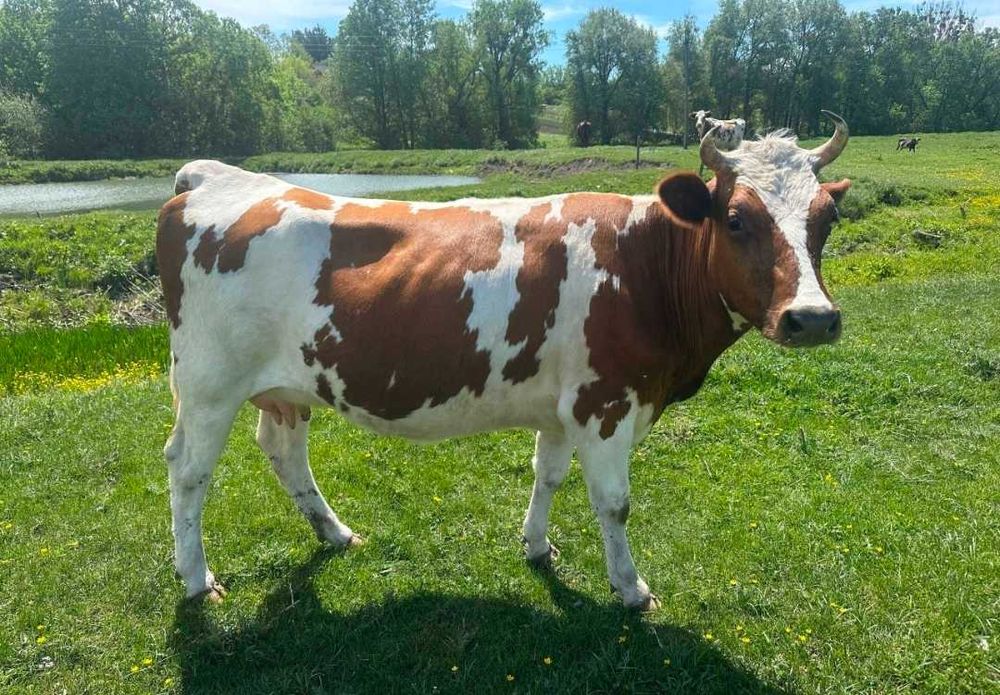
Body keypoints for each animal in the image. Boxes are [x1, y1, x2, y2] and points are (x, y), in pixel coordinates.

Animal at [157, 111, 851, 610]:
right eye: (735, 219)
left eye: (827, 218)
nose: (813, 318)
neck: (643, 264)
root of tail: (219, 178)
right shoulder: (607, 403)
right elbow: (614, 502)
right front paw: (631, 588)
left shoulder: (565, 404)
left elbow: (549, 475)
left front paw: (537, 546)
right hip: (208, 384)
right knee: (189, 471)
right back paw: (196, 578)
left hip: (288, 384)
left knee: (282, 450)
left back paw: (335, 532)